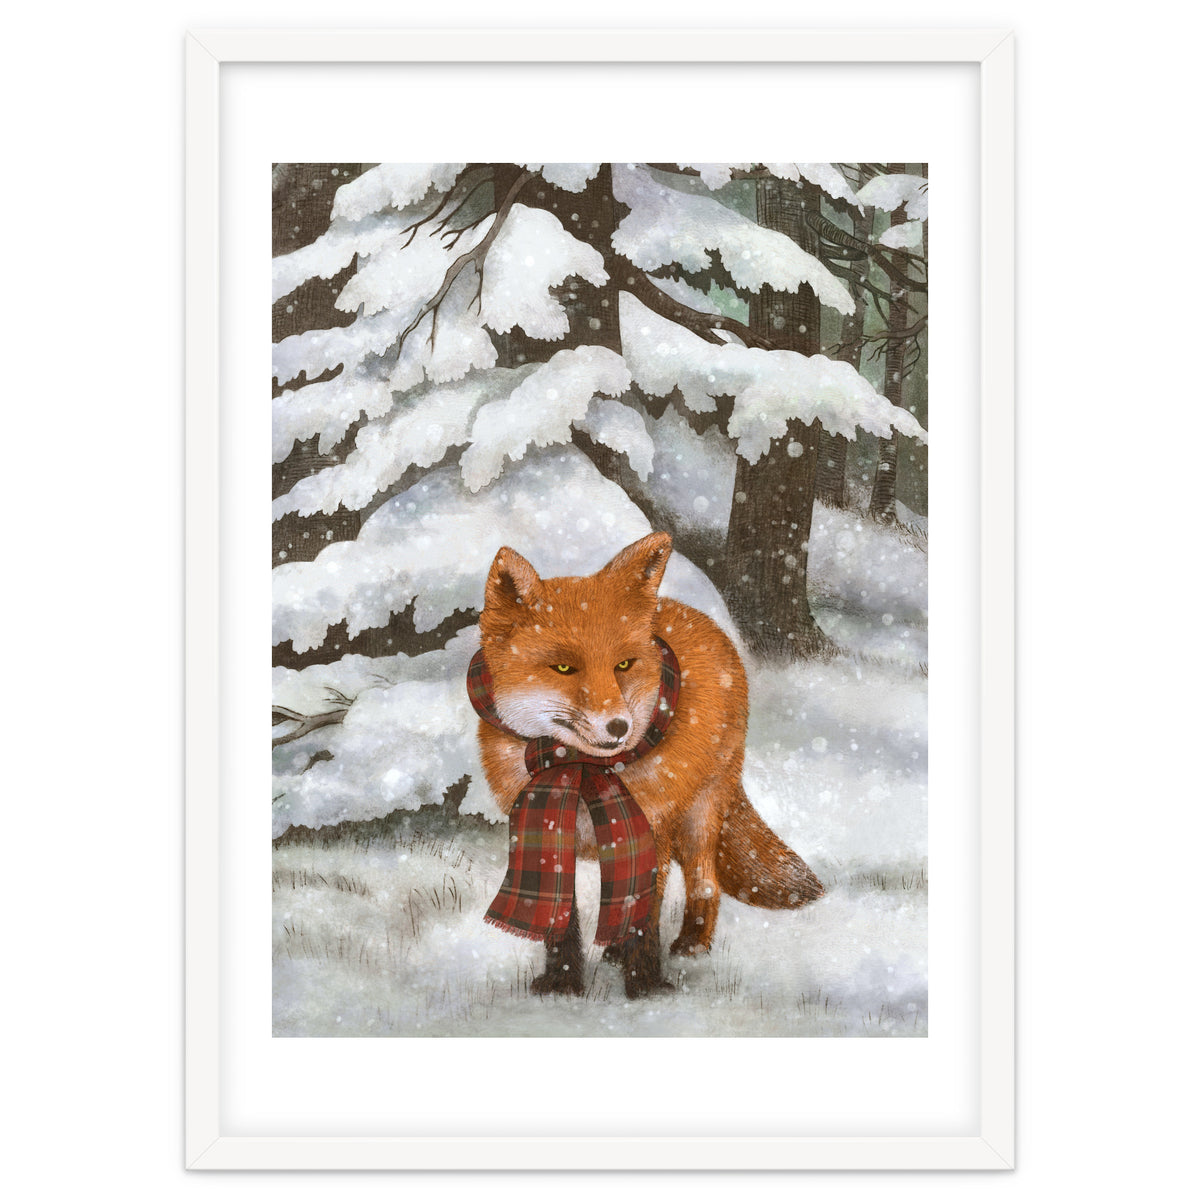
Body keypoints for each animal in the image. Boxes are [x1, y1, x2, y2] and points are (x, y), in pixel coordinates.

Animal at [474, 531, 824, 999]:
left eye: (623, 665)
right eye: (564, 668)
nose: (619, 727)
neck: (580, 769)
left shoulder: (649, 829)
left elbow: (644, 916)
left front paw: (645, 988)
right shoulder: (550, 829)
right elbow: (561, 918)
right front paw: (561, 985)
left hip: (699, 816)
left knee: (704, 883)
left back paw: (691, 944)